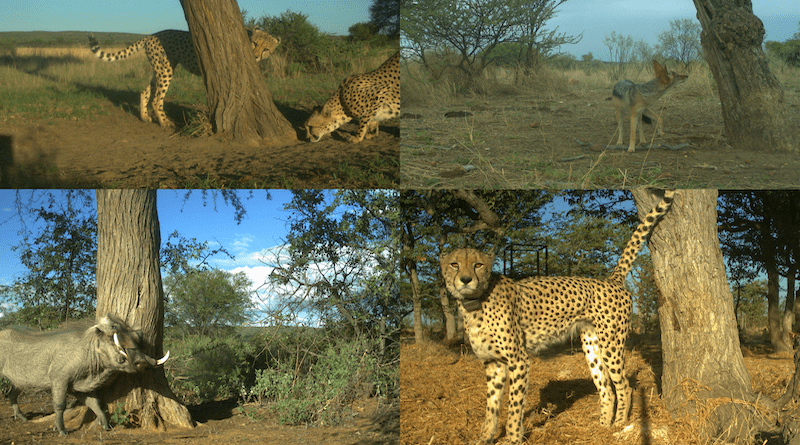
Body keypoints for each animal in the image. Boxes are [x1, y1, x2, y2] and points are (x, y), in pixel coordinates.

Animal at [87, 28, 280, 127]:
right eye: (255, 43)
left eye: (266, 49)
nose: (255, 56)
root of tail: (151, 34)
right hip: (165, 70)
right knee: (157, 99)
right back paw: (165, 122)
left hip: (161, 68)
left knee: (145, 91)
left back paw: (145, 117)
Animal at [440, 190, 680, 444]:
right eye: (454, 264)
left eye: (478, 265)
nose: (465, 279)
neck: (475, 302)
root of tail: (610, 280)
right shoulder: (492, 363)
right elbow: (491, 405)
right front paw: (485, 437)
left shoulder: (519, 361)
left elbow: (514, 406)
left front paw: (513, 438)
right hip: (591, 345)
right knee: (606, 388)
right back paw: (602, 426)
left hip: (612, 344)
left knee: (624, 385)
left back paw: (619, 424)